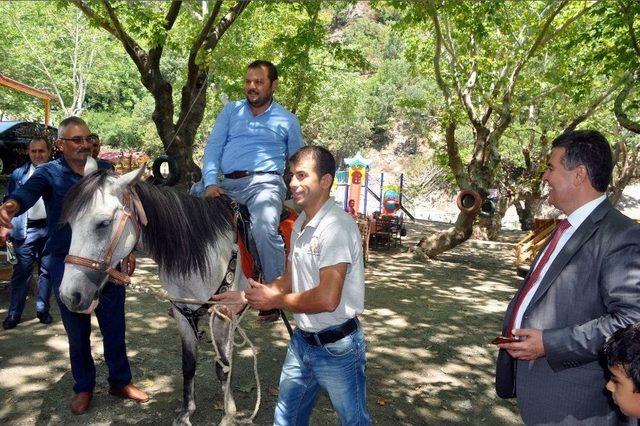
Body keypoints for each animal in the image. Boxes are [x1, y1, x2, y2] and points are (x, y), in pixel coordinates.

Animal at [58, 158, 248, 424]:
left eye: (103, 223)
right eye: (71, 224)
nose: (69, 296)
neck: (203, 252)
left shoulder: (221, 316)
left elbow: (223, 367)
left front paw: (229, 414)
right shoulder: (183, 315)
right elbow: (188, 365)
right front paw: (186, 412)